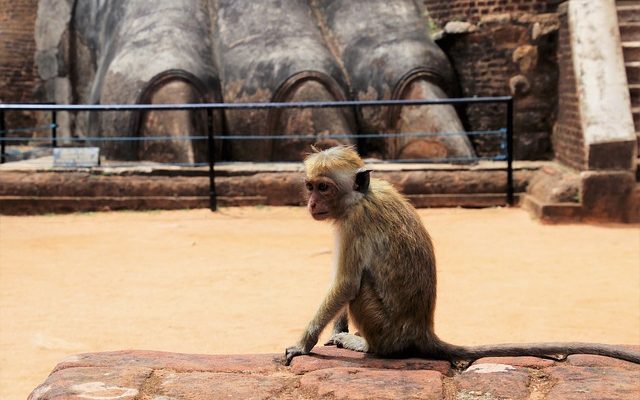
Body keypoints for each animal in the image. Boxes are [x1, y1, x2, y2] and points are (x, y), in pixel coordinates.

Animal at [284, 145, 640, 368]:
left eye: (324, 188)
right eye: (310, 186)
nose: (311, 203)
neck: (362, 196)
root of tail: (422, 331)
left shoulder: (354, 223)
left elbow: (346, 284)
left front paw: (304, 344)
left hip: (386, 330)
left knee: (362, 293)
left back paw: (370, 348)